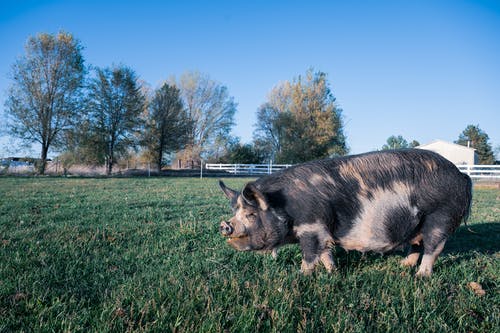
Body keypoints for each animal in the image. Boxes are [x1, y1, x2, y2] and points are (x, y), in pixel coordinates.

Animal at [219, 149, 472, 276]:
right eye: (236, 211)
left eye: (251, 215)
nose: (225, 225)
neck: (284, 205)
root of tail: (462, 176)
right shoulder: (323, 231)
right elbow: (325, 253)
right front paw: (332, 272)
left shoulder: (311, 226)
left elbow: (309, 254)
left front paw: (301, 276)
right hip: (418, 224)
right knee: (416, 245)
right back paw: (403, 266)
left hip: (440, 217)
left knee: (433, 248)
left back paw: (421, 276)